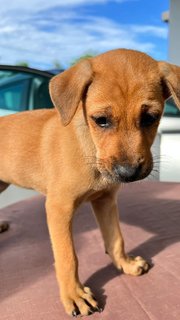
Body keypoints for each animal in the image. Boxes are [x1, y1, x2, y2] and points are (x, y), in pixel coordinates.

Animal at [0, 48, 180, 316]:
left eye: (150, 117)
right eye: (101, 119)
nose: (128, 173)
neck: (90, 150)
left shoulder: (106, 201)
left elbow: (115, 239)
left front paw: (125, 264)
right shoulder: (59, 208)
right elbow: (68, 257)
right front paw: (74, 295)